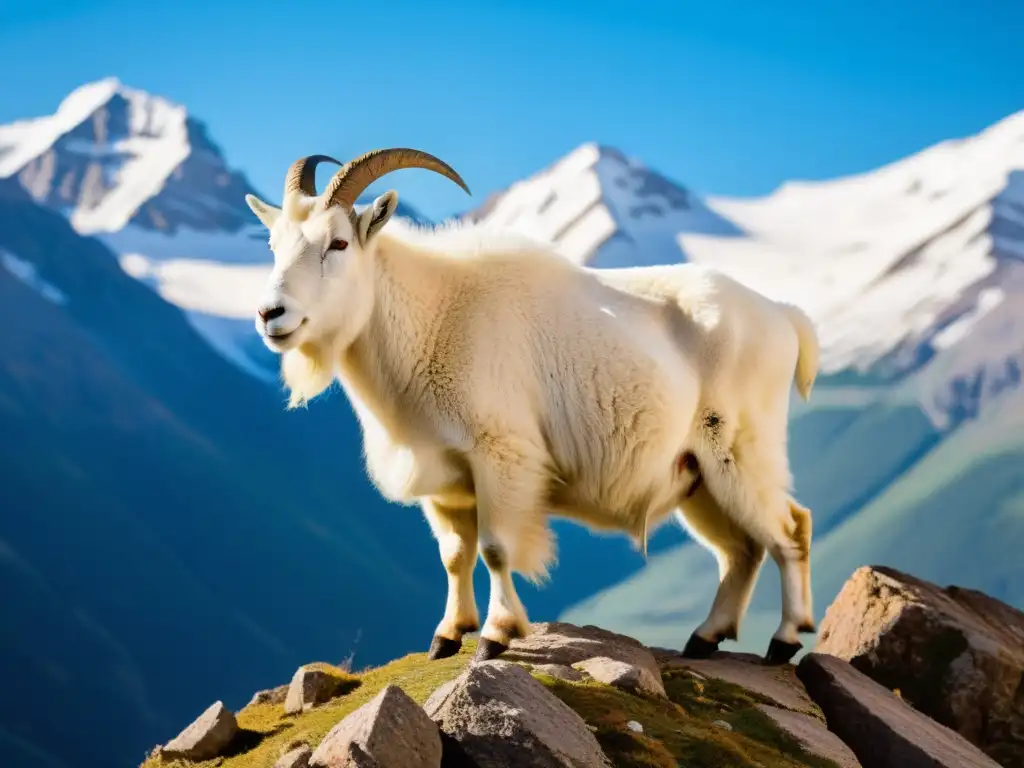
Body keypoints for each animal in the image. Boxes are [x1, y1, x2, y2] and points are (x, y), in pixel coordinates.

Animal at [243, 147, 819, 663]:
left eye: (338, 242)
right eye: (273, 243)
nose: (271, 314)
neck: (431, 319)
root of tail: (784, 317)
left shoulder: (502, 456)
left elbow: (496, 547)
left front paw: (496, 636)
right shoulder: (443, 479)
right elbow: (453, 555)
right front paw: (447, 635)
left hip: (741, 451)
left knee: (791, 529)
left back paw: (784, 641)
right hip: (697, 477)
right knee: (741, 549)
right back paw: (704, 638)